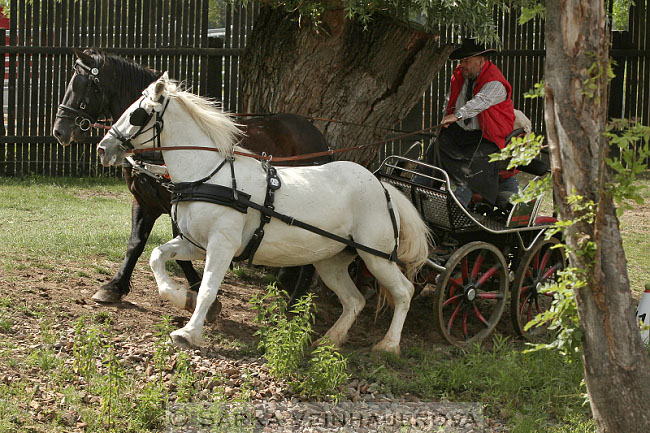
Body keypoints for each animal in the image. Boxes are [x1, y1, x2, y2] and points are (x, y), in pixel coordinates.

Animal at [52, 49, 330, 308]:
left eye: (82, 85)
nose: (59, 130)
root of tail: (317, 135)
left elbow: (180, 251)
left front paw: (197, 291)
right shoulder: (143, 202)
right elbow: (136, 243)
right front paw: (114, 286)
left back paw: (295, 298)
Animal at [97, 72, 430, 352]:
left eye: (137, 113)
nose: (103, 148)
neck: (208, 175)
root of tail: (383, 187)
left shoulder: (223, 245)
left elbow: (208, 288)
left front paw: (189, 332)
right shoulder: (196, 243)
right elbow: (156, 256)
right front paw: (180, 297)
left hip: (377, 256)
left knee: (404, 292)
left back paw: (388, 345)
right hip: (332, 260)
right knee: (353, 300)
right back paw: (329, 340)